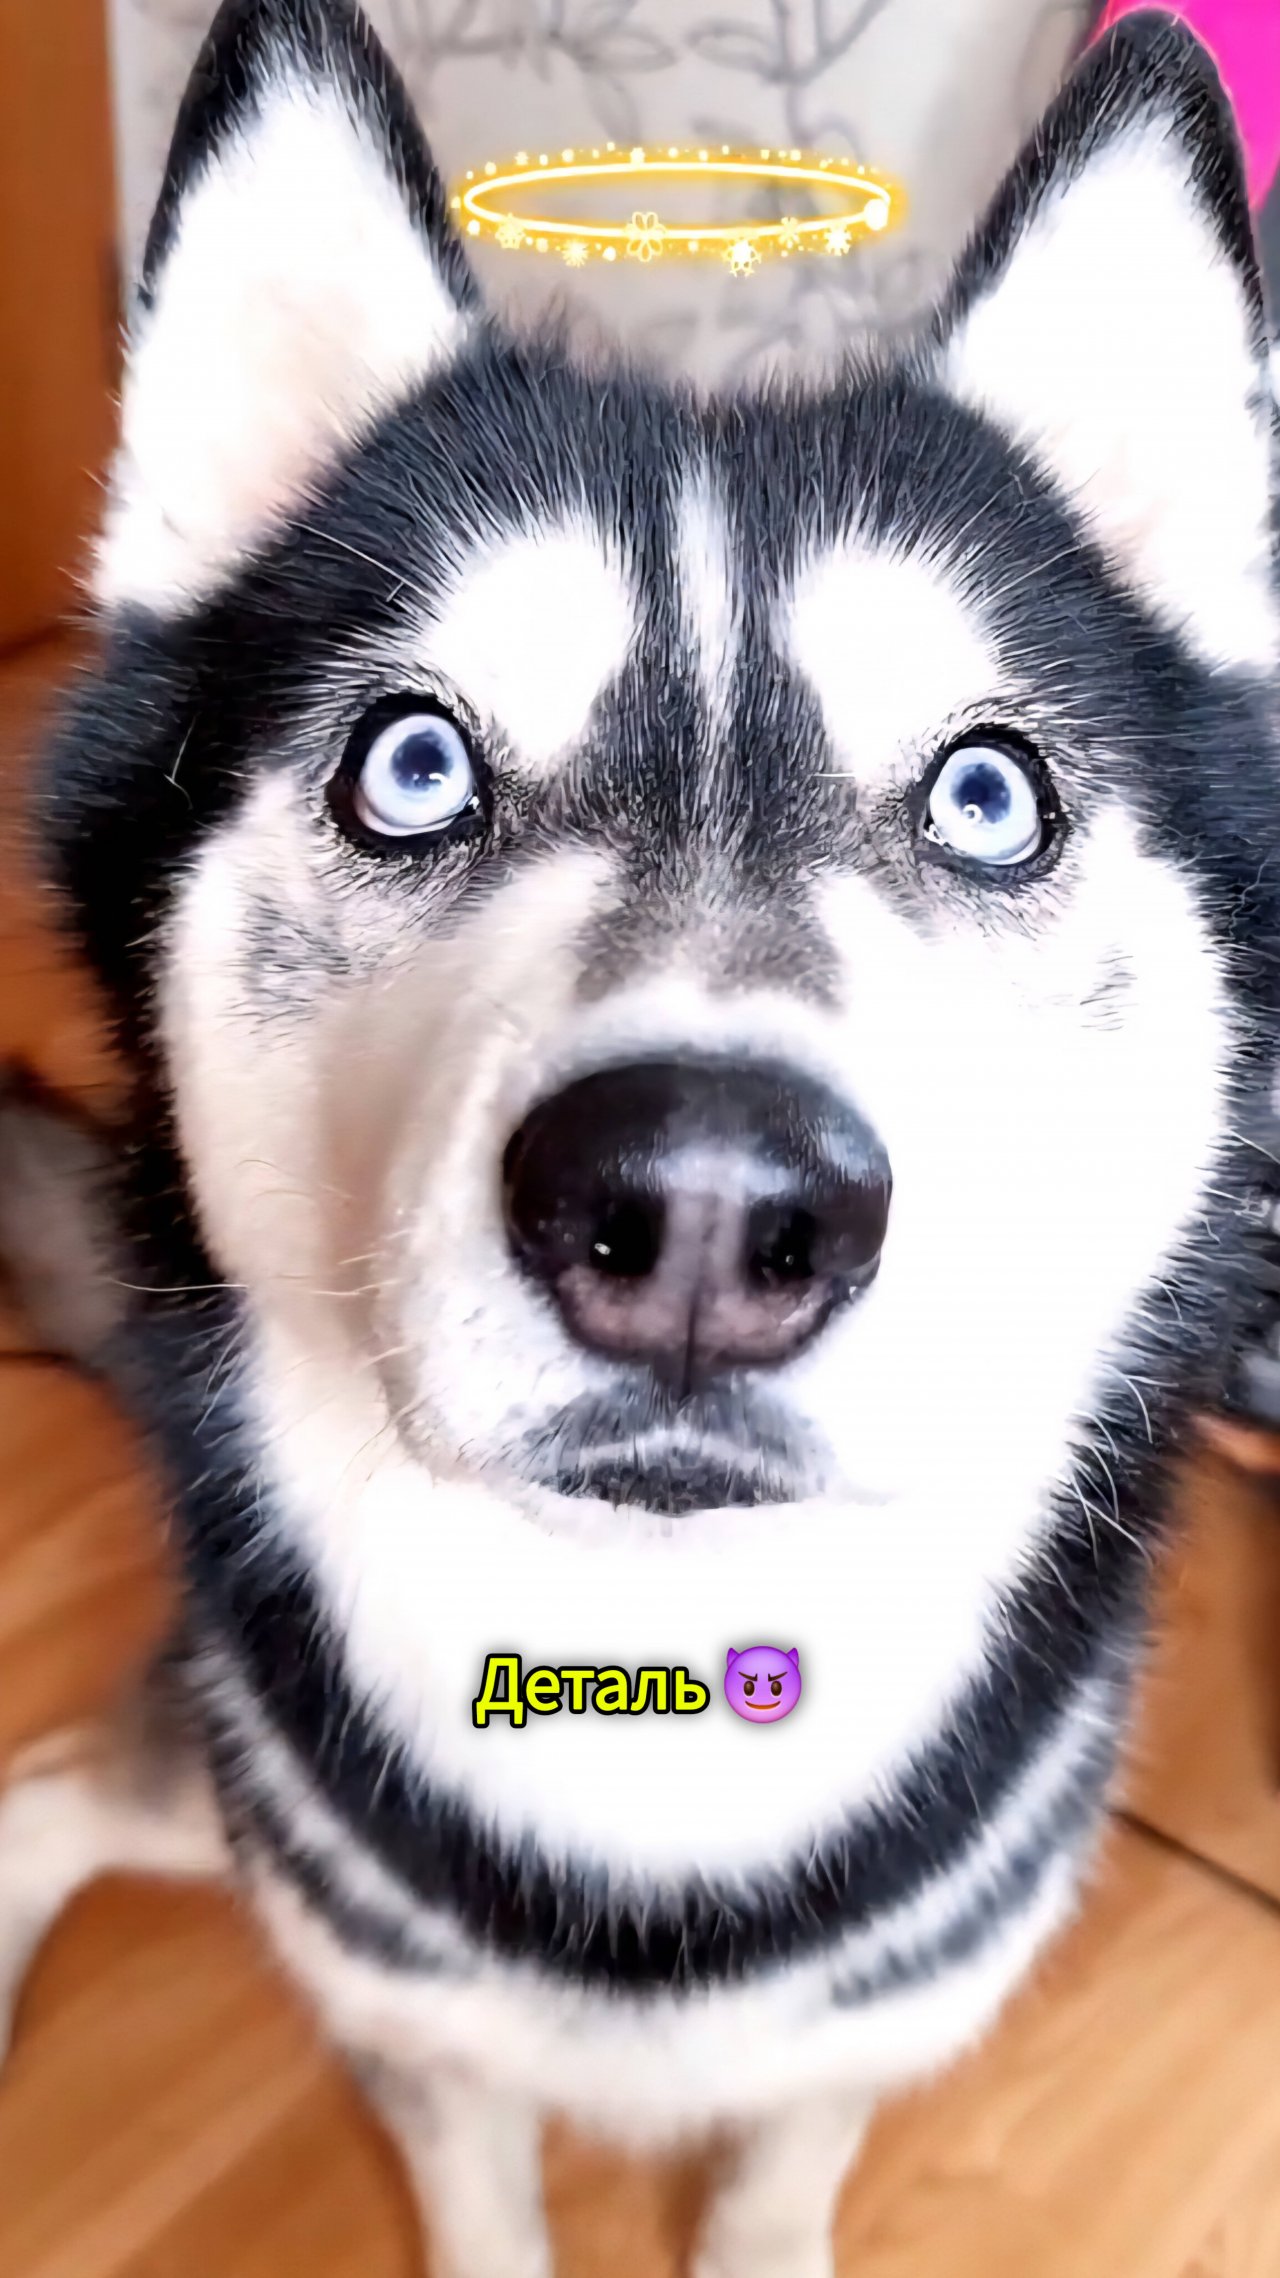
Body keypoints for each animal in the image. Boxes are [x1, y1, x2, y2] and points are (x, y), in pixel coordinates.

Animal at [0, 5, 1276, 2274]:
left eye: (988, 797)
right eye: (411, 767)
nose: (700, 1203)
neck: (652, 1682)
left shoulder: (862, 2032)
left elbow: (778, 2171)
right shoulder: (412, 2030)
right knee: (49, 1784)